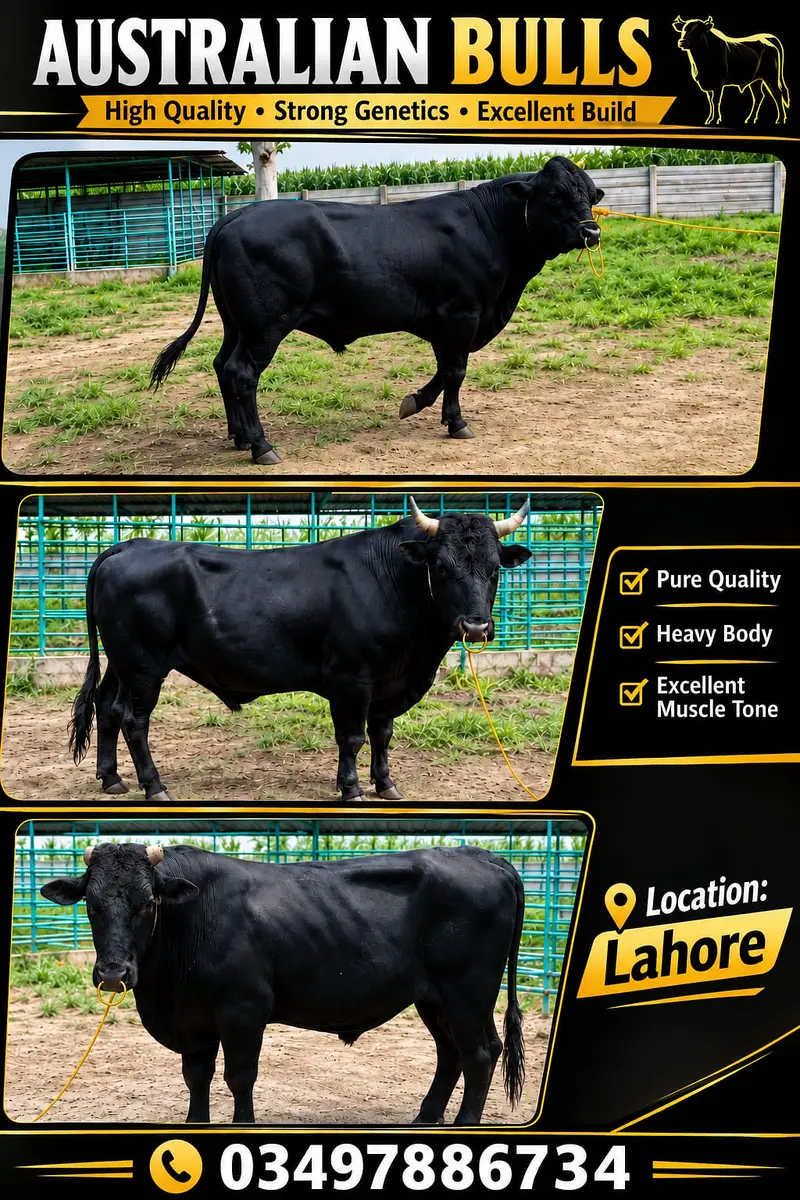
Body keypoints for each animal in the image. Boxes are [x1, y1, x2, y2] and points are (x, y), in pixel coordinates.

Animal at [40, 841, 527, 1125]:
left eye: (146, 903)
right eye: (92, 904)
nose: (113, 974)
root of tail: (485, 856)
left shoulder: (243, 1011)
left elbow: (239, 1077)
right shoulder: (193, 1020)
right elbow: (196, 1077)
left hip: (468, 992)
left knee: (480, 1054)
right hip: (434, 999)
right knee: (452, 1054)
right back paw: (426, 1118)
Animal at [69, 499, 532, 802]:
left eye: (494, 570)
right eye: (442, 567)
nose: (476, 626)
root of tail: (132, 544)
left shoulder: (388, 683)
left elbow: (382, 734)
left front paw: (387, 785)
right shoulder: (351, 679)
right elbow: (352, 737)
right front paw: (352, 790)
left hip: (121, 664)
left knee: (108, 707)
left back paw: (112, 779)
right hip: (144, 666)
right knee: (134, 720)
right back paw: (155, 787)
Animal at [150, 157, 604, 465]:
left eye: (590, 193)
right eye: (554, 194)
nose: (592, 231)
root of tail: (234, 216)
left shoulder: (449, 322)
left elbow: (444, 370)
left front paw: (415, 402)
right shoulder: (462, 314)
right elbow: (455, 370)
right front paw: (456, 422)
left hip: (236, 324)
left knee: (222, 365)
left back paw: (239, 437)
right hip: (265, 326)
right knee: (242, 373)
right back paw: (262, 446)